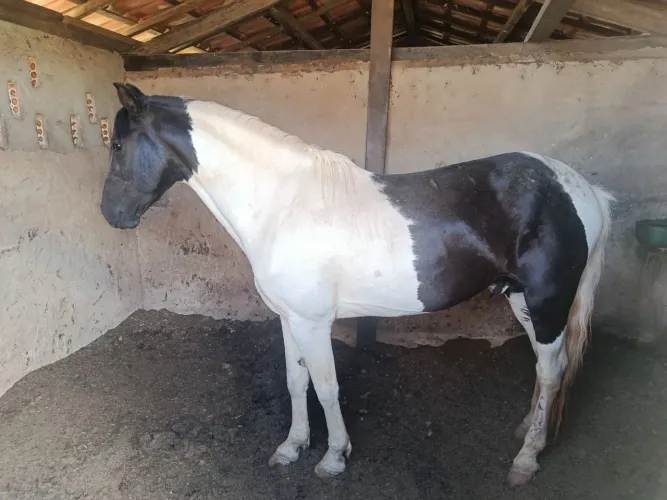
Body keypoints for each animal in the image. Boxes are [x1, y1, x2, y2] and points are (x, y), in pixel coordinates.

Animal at [100, 83, 614, 486]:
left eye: (119, 146)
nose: (111, 215)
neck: (282, 204)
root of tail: (582, 188)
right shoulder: (289, 319)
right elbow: (296, 381)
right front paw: (292, 447)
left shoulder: (313, 323)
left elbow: (327, 386)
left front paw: (333, 457)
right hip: (522, 300)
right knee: (545, 368)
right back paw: (529, 430)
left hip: (548, 301)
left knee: (552, 369)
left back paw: (527, 459)